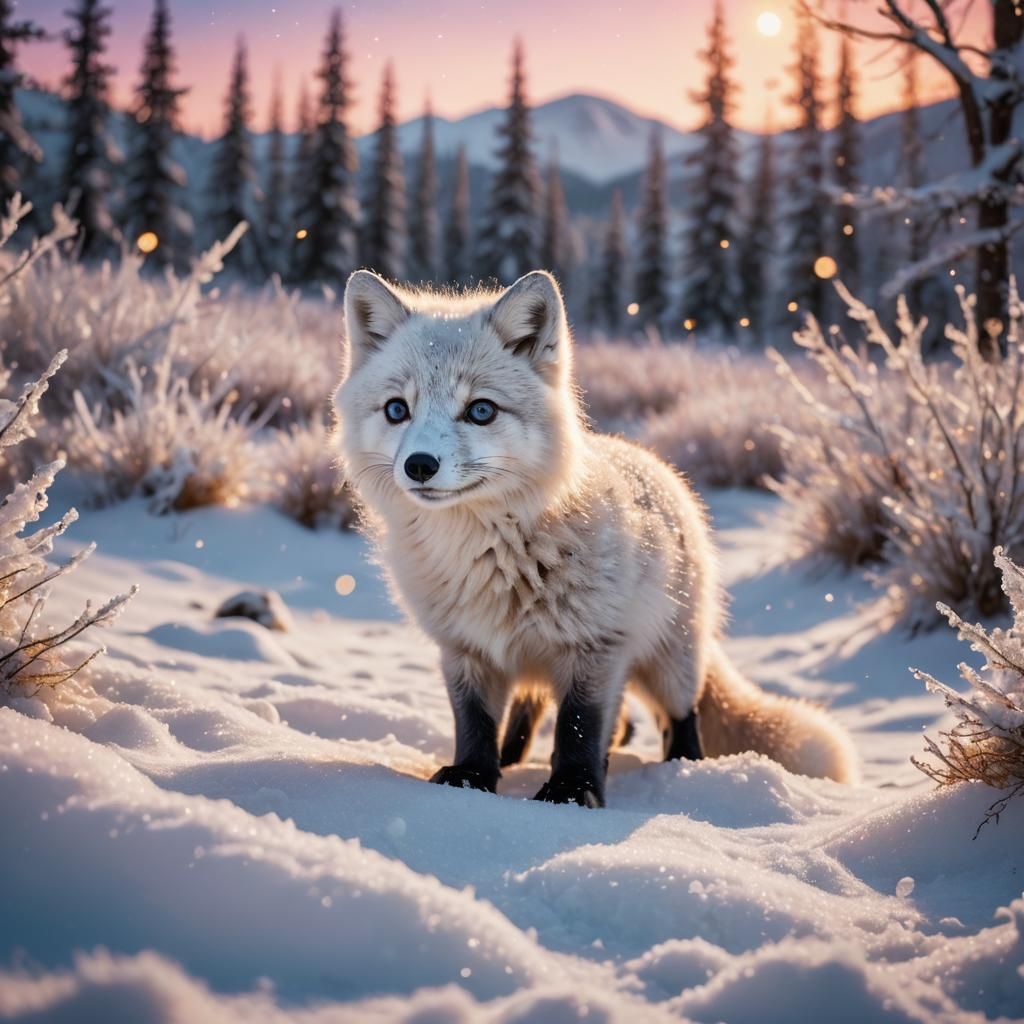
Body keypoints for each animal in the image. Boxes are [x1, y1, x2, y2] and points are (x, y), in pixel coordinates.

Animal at [334, 268, 858, 807]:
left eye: (481, 411)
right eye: (397, 410)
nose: (419, 465)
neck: (491, 554)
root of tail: (652, 463)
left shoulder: (596, 646)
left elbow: (580, 727)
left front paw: (572, 789)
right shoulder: (466, 651)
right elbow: (475, 724)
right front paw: (474, 777)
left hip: (670, 658)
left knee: (677, 717)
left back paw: (683, 772)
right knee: (549, 714)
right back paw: (514, 759)